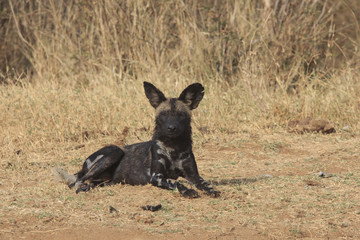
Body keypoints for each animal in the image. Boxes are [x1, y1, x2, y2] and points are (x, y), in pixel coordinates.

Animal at [53, 81, 221, 198]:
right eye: (163, 115)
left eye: (181, 115)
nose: (171, 128)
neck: (174, 147)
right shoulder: (156, 177)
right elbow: (176, 182)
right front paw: (188, 191)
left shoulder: (194, 175)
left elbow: (205, 183)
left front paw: (212, 190)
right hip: (114, 152)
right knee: (76, 182)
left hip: (107, 180)